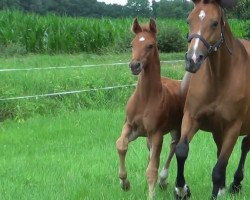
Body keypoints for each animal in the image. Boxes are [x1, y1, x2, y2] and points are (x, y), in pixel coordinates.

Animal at [115, 18, 188, 198]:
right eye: (132, 44)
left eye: (150, 45)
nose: (134, 65)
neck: (145, 99)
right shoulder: (131, 126)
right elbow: (121, 145)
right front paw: (124, 182)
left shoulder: (156, 134)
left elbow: (152, 170)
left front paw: (151, 194)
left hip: (176, 128)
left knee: (173, 147)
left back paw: (163, 180)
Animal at [175, 0, 249, 199]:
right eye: (188, 20)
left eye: (215, 23)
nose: (192, 60)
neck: (219, 78)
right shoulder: (192, 117)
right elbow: (181, 151)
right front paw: (181, 189)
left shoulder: (233, 126)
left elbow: (219, 166)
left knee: (245, 146)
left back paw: (236, 183)